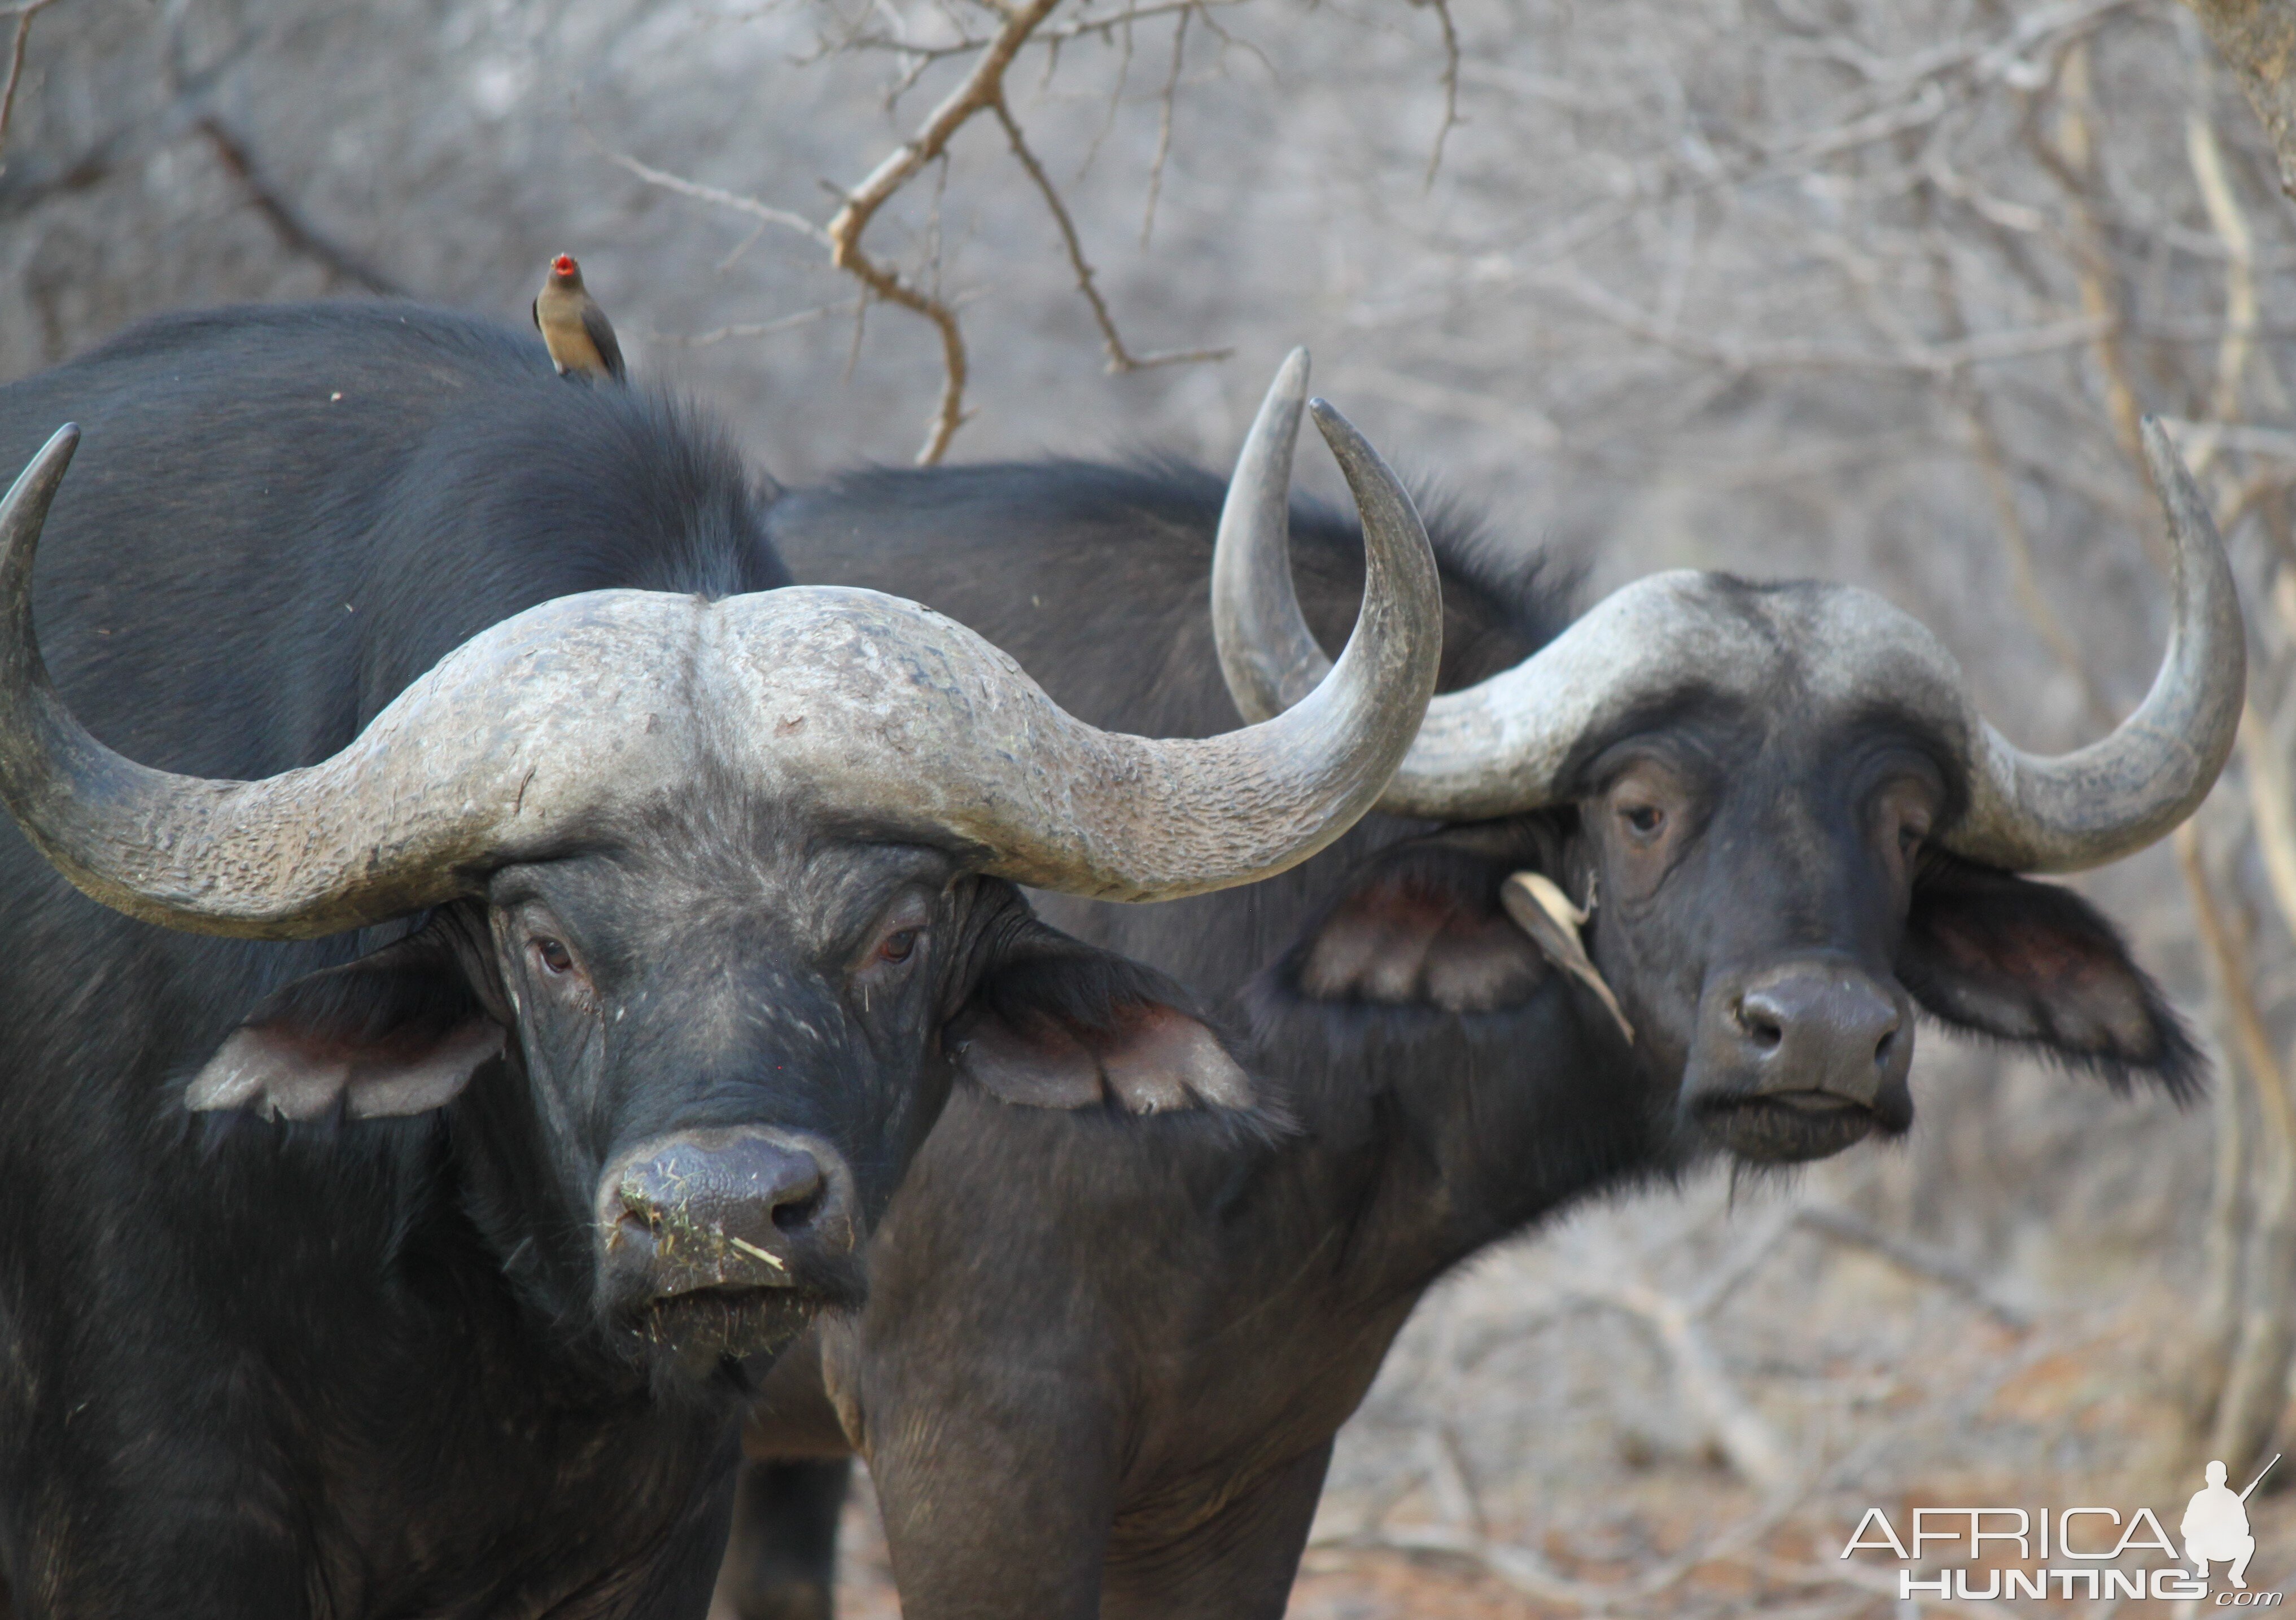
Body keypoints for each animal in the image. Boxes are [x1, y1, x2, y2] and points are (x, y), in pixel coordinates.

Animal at [0, 305, 1442, 1615]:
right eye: (547, 946)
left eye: (899, 935)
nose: (723, 1217)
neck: (498, 1322)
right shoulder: (167, 1511)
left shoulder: (672, 1525)